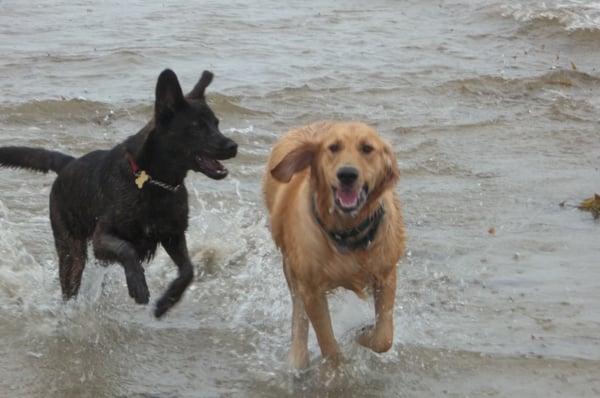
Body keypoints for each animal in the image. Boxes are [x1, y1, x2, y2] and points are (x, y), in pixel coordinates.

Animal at [0, 68, 238, 318]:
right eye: (197, 126)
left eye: (216, 123)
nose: (233, 146)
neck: (154, 181)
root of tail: (68, 164)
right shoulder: (102, 237)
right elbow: (128, 250)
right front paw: (138, 286)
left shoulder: (173, 235)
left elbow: (188, 270)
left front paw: (167, 301)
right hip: (71, 250)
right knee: (70, 284)